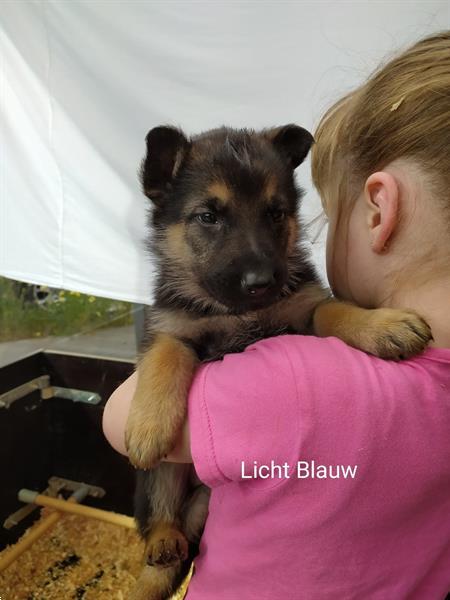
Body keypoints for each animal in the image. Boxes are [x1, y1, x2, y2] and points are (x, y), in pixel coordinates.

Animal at [126, 124, 432, 596]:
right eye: (208, 217)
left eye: (275, 213)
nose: (261, 282)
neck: (238, 314)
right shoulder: (171, 328)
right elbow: (166, 354)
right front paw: (148, 425)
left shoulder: (303, 310)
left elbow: (333, 310)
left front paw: (382, 325)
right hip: (162, 480)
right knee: (162, 512)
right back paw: (162, 541)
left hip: (205, 503)